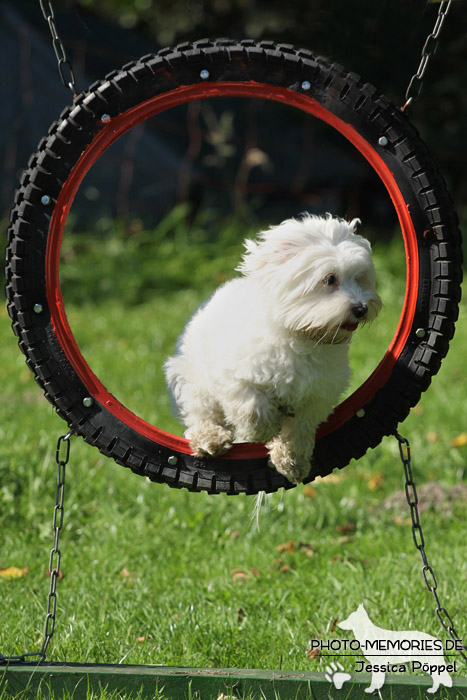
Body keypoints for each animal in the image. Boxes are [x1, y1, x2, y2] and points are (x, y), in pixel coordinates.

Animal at [165, 216, 380, 484]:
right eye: (330, 279)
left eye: (359, 277)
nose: (361, 308)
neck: (300, 335)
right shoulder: (236, 377)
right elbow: (252, 407)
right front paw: (262, 430)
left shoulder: (317, 393)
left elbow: (300, 427)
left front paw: (292, 460)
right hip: (191, 379)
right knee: (200, 411)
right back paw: (211, 438)